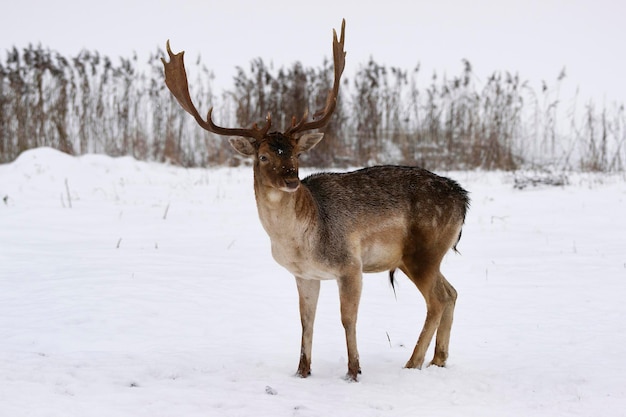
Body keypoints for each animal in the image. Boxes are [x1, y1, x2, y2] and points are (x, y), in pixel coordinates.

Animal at [162, 18, 468, 380]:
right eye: (263, 156)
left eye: (296, 153)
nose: (291, 180)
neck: (300, 241)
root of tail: (463, 200)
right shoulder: (304, 274)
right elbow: (306, 320)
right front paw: (302, 370)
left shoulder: (350, 264)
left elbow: (347, 319)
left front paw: (353, 370)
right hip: (422, 257)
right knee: (451, 292)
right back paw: (438, 360)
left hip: (423, 252)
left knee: (437, 300)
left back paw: (413, 362)